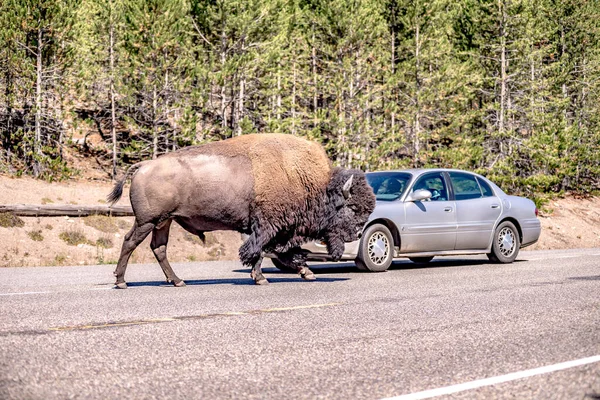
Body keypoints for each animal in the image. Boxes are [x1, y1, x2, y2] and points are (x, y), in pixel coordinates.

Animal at [105, 134, 372, 288]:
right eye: (352, 207)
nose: (359, 233)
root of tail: (144, 165)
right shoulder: (267, 227)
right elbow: (260, 251)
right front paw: (261, 278)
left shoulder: (278, 229)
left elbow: (282, 252)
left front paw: (306, 272)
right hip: (147, 221)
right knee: (130, 242)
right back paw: (121, 281)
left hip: (164, 222)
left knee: (159, 248)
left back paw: (178, 281)